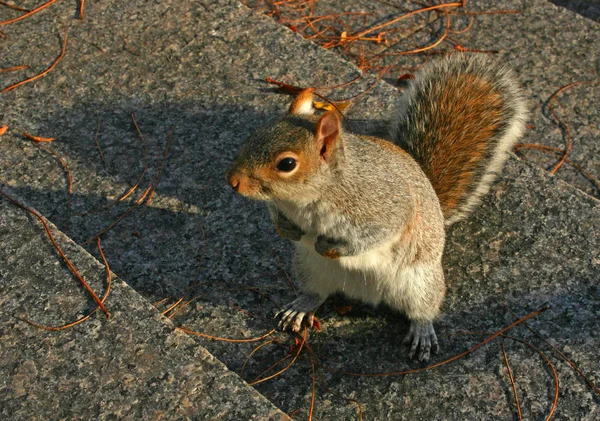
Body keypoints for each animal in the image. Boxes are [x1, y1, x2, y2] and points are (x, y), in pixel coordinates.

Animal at [225, 54, 524, 360]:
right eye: (255, 136)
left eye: (286, 164)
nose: (233, 180)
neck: (306, 199)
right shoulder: (282, 205)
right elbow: (276, 214)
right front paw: (285, 229)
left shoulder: (385, 207)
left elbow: (376, 235)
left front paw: (332, 247)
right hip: (309, 267)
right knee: (316, 292)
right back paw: (301, 306)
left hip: (420, 281)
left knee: (423, 309)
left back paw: (422, 330)